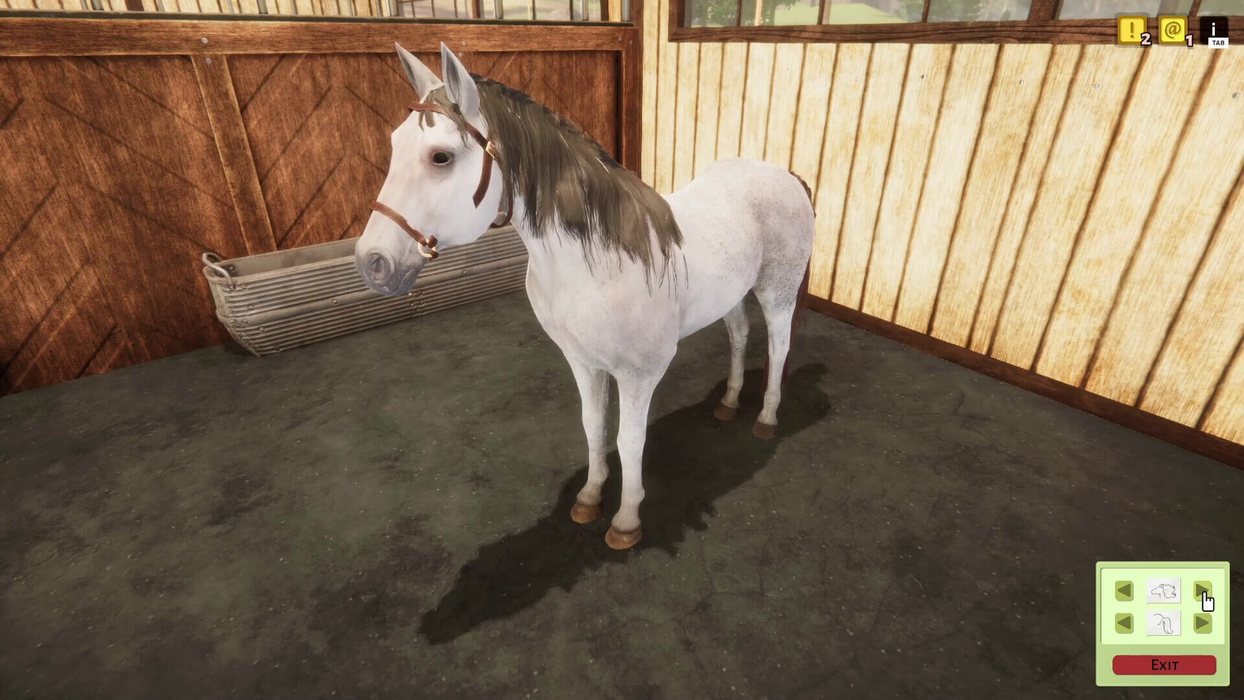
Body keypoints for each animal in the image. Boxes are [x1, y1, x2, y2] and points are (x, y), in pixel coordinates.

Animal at [355, 43, 816, 550]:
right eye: (394, 144)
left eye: (440, 157)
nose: (372, 262)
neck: (594, 263)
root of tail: (784, 174)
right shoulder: (582, 361)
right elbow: (593, 426)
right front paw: (591, 498)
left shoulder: (639, 375)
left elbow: (630, 441)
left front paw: (626, 521)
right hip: (732, 295)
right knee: (738, 335)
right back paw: (729, 404)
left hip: (777, 293)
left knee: (777, 347)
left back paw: (766, 418)